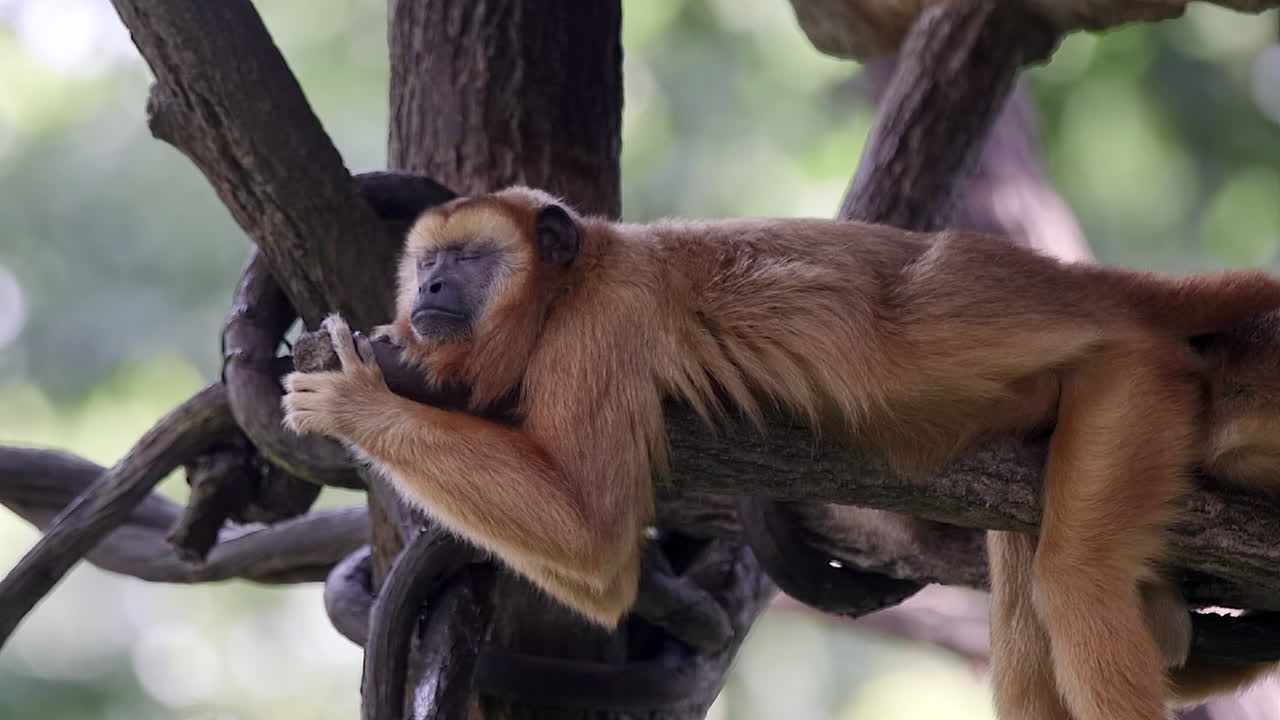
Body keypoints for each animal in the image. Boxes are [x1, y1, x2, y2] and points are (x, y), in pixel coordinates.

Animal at [282, 186, 1280, 719]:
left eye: (467, 260)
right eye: (426, 263)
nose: (430, 288)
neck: (575, 277)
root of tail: (1107, 294)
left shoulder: (604, 328)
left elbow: (593, 537)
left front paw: (356, 404)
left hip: (1136, 378)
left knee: (1075, 579)